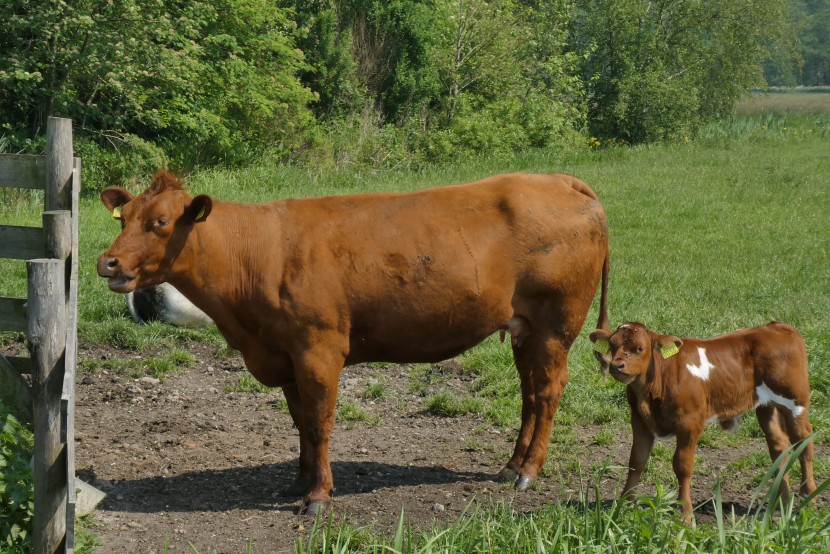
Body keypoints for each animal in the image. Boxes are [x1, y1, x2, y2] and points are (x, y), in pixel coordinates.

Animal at [101, 169, 616, 512]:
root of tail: (558, 179)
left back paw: (529, 473)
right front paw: (300, 481)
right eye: (123, 218)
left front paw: (319, 496)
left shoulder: (319, 349)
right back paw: (511, 465)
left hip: (555, 325)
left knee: (547, 392)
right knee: (530, 393)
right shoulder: (284, 354)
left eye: (161, 222)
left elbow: (320, 423)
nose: (108, 262)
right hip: (523, 329)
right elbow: (300, 423)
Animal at [592, 320, 820, 516]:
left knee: (804, 443)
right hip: (766, 406)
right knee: (778, 446)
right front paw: (623, 505)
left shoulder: (690, 424)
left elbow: (682, 465)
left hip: (796, 402)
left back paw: (809, 496)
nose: (616, 366)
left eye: (640, 348)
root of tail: (776, 326)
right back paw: (783, 500)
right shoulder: (639, 421)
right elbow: (636, 461)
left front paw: (685, 514)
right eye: (612, 345)